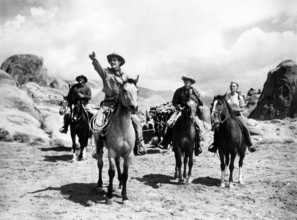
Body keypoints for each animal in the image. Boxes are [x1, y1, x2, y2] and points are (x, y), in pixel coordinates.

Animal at [93, 76, 139, 205]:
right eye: (124, 90)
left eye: (137, 91)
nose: (134, 107)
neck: (123, 128)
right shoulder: (112, 152)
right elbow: (111, 172)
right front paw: (109, 195)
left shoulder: (128, 154)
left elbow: (125, 174)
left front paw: (125, 196)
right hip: (99, 146)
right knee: (100, 164)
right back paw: (99, 185)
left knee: (119, 164)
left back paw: (119, 184)